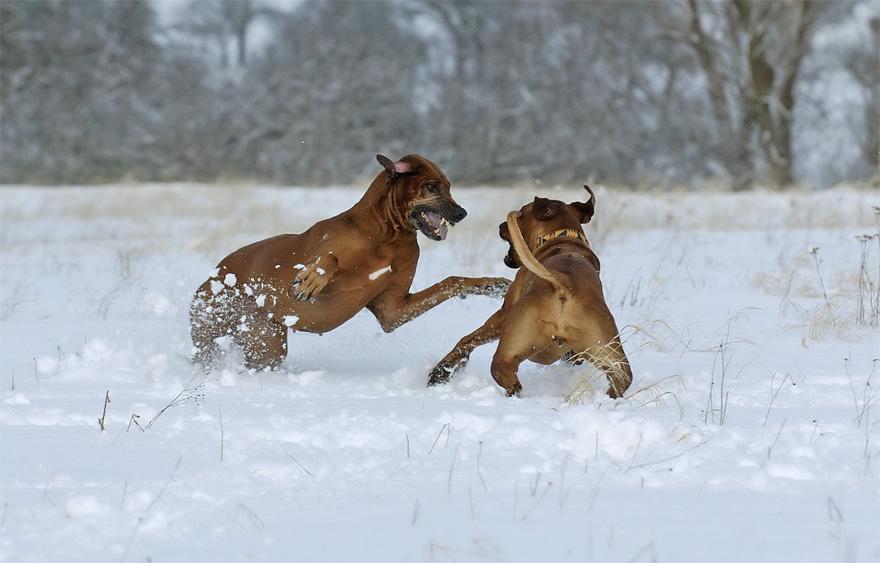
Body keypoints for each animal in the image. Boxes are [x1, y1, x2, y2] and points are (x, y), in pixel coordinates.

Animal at [192, 153, 508, 370]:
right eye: (431, 186)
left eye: (449, 186)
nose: (461, 213)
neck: (388, 236)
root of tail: (214, 273)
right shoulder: (316, 261)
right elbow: (330, 258)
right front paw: (312, 280)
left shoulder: (393, 311)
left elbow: (452, 281)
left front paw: (490, 284)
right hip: (209, 330)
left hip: (266, 346)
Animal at [428, 187, 628, 398]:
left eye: (523, 209)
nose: (501, 225)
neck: (563, 239)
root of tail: (565, 283)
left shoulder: (504, 314)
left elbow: (469, 339)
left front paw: (444, 369)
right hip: (613, 358)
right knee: (619, 379)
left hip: (509, 349)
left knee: (507, 377)